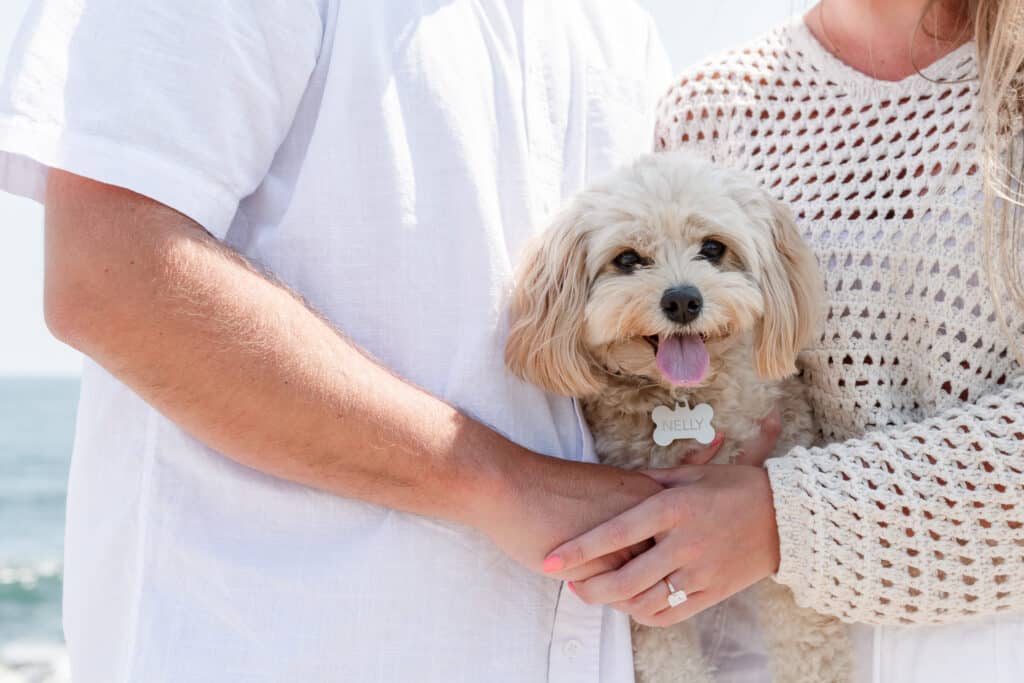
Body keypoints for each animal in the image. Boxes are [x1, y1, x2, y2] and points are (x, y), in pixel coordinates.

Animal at [501, 153, 847, 683]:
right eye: (627, 259)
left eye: (713, 247)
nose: (683, 300)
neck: (684, 398)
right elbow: (669, 658)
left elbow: (806, 643)